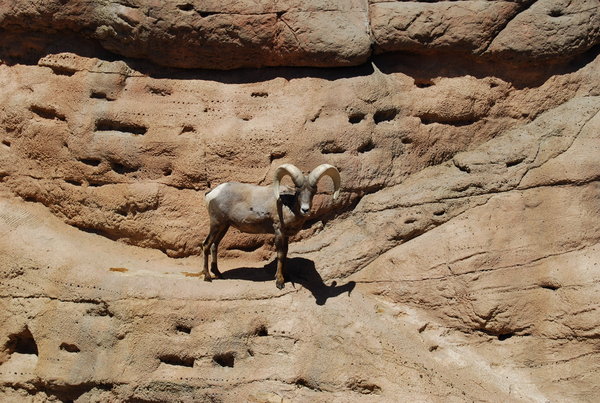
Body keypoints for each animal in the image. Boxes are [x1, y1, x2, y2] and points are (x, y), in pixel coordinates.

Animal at [204, 164, 340, 290]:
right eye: (298, 191)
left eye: (314, 191)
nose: (305, 209)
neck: (288, 206)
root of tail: (212, 194)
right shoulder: (278, 231)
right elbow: (280, 254)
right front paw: (279, 282)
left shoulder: (285, 235)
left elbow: (285, 253)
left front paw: (286, 276)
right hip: (216, 224)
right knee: (206, 245)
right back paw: (207, 277)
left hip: (224, 226)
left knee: (214, 245)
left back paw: (218, 274)